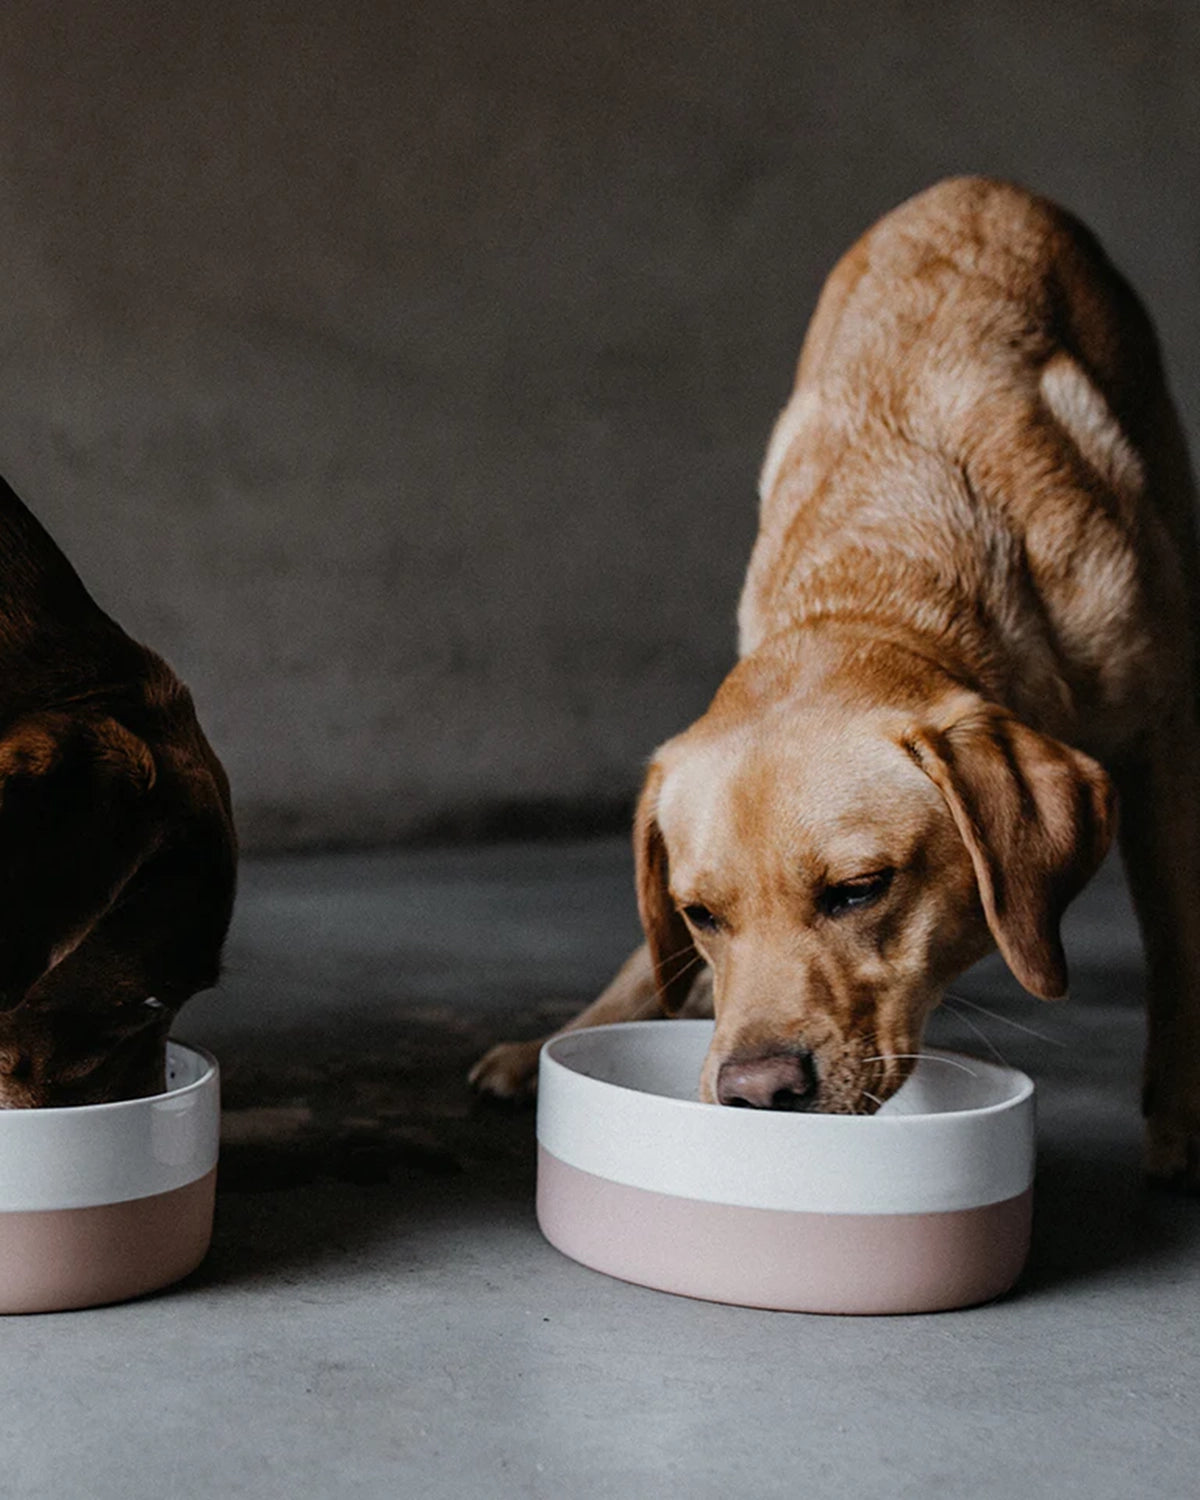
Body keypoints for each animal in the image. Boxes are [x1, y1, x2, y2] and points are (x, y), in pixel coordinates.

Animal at [471, 175, 1200, 1182]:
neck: (885, 568)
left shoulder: (1163, 732)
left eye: (858, 890)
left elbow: (1179, 938)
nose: (756, 1092)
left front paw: (1181, 1120)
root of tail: (980, 188)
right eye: (701, 914)